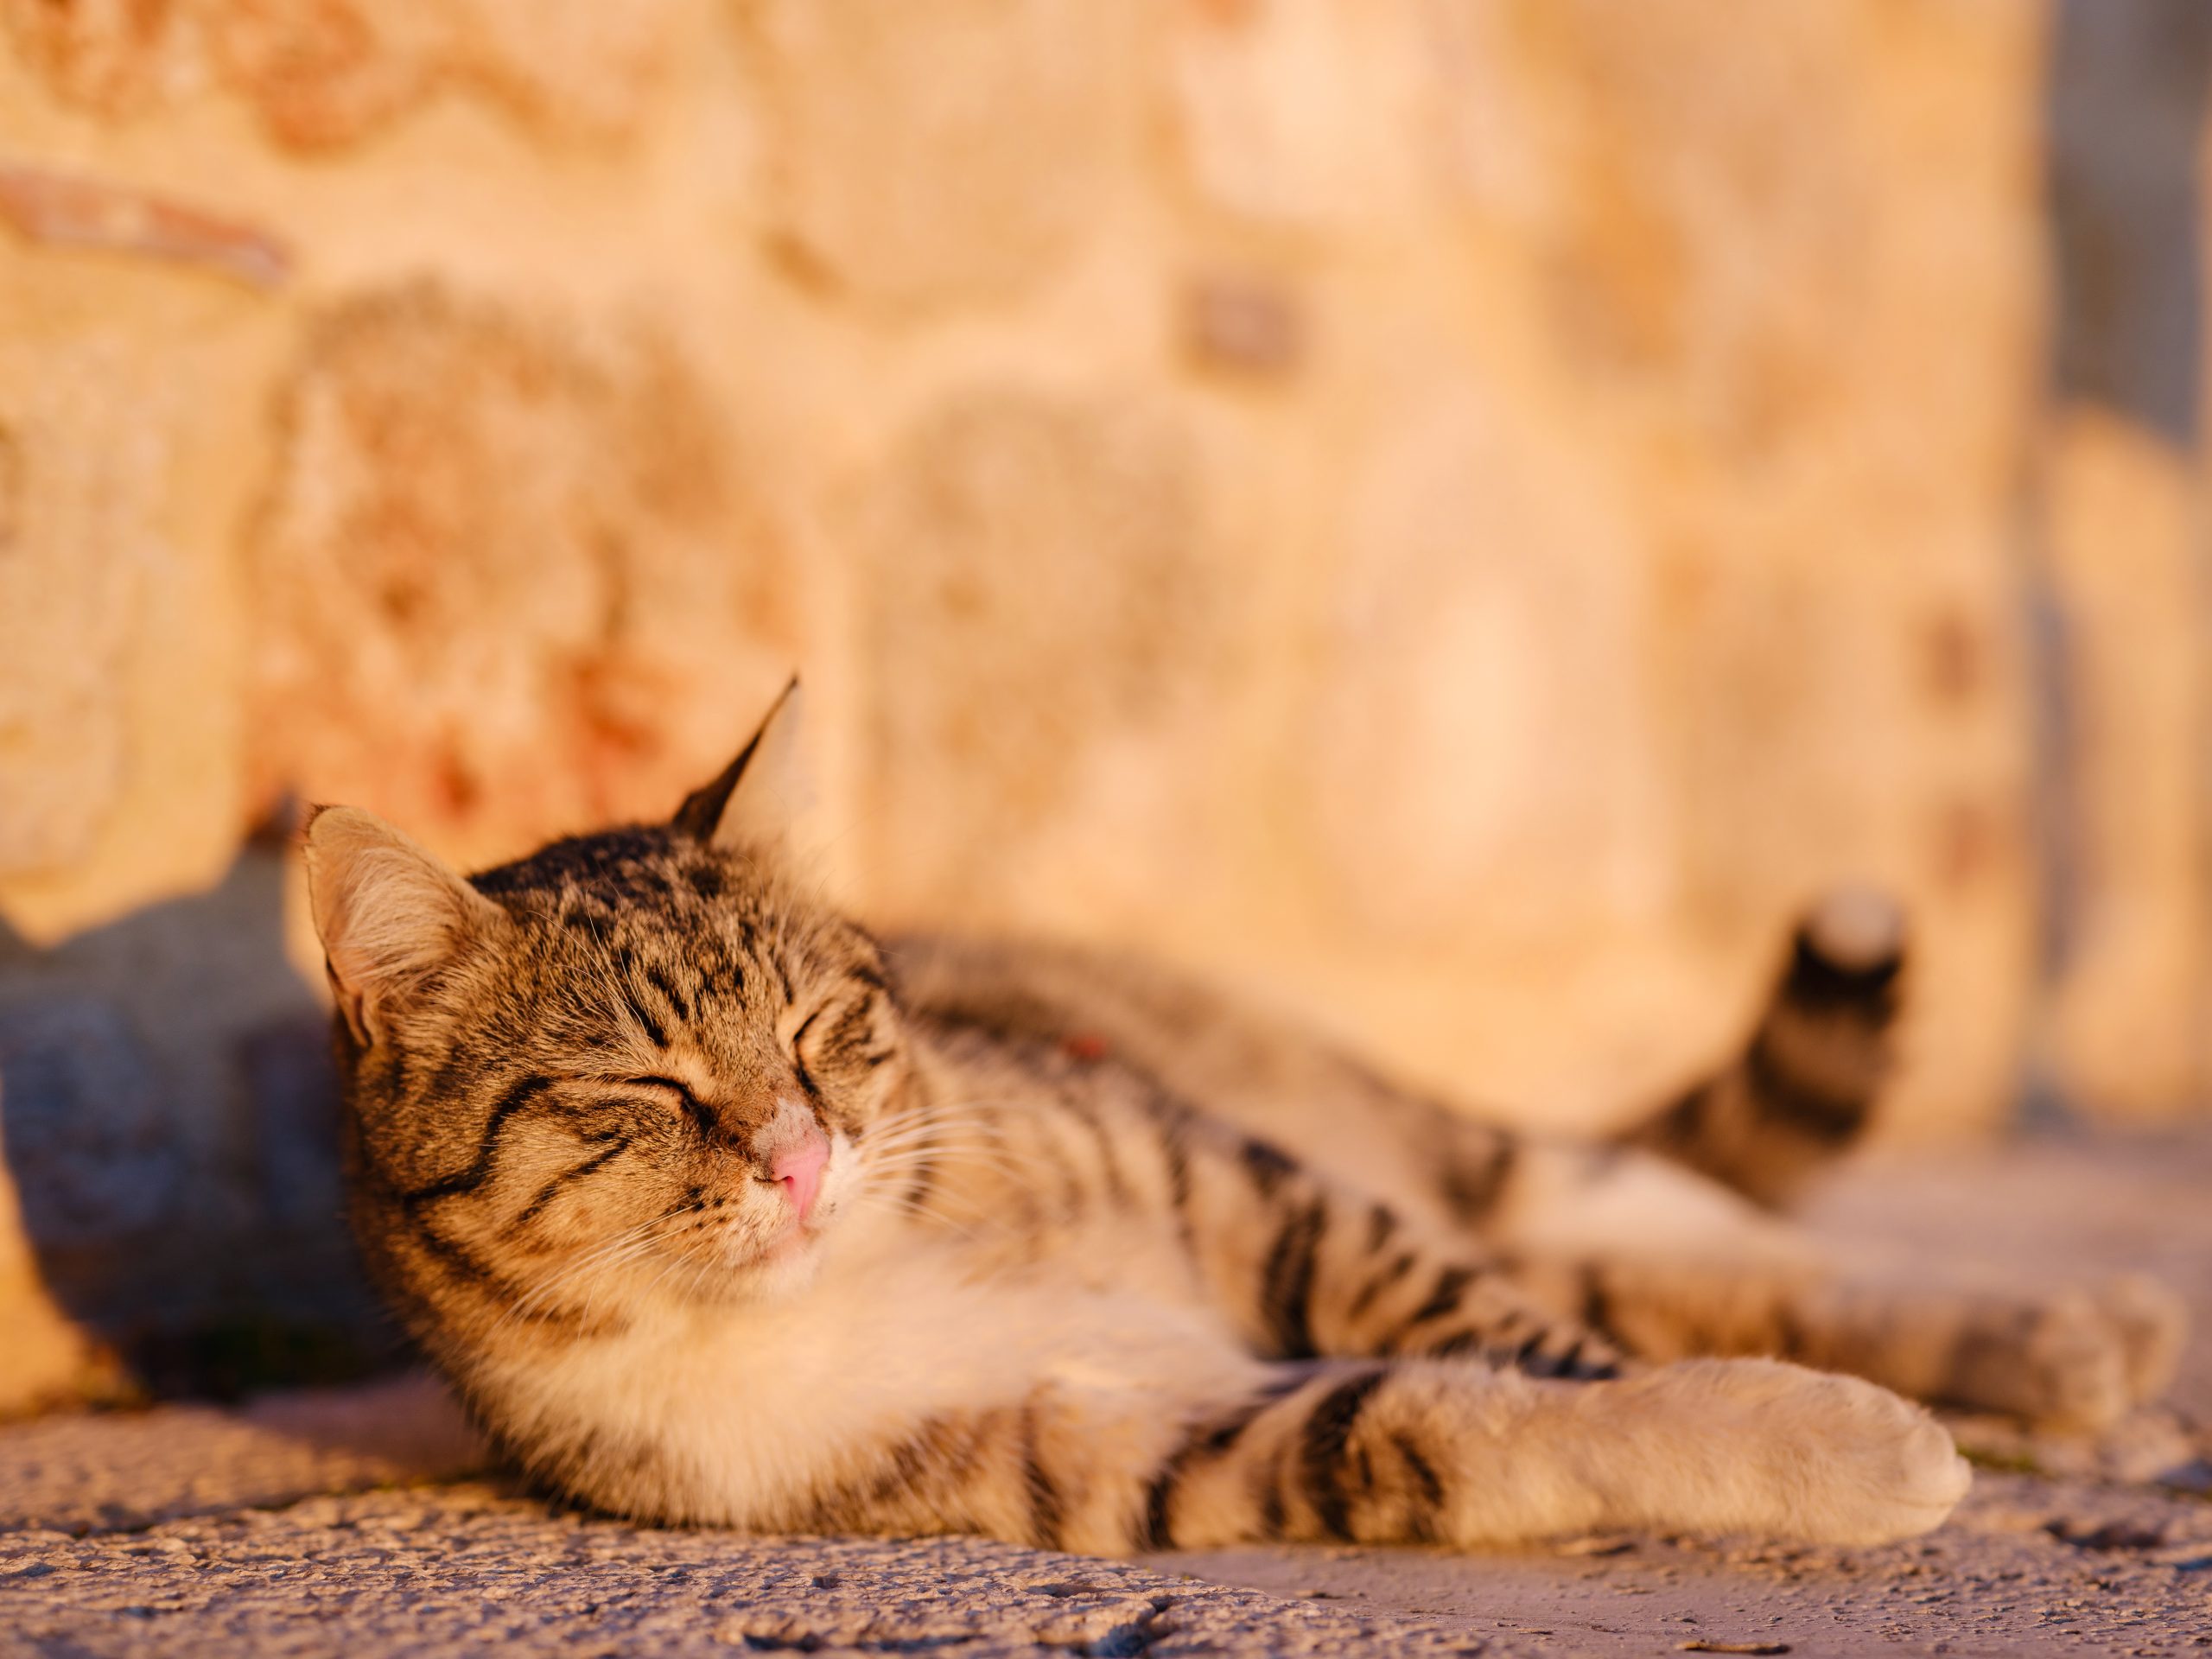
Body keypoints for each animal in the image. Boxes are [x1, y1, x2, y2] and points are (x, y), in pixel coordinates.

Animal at [302, 681, 2185, 1557]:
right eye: (644, 1087)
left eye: (825, 1029)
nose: (803, 1153)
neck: (869, 1277)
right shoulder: (1145, 1451)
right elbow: (1440, 1422)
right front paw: (1830, 1451)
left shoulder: (1251, 1184)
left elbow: (1523, 1343)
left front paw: (1826, 1429)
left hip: (1429, 1142)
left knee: (1695, 1252)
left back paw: (2069, 1331)